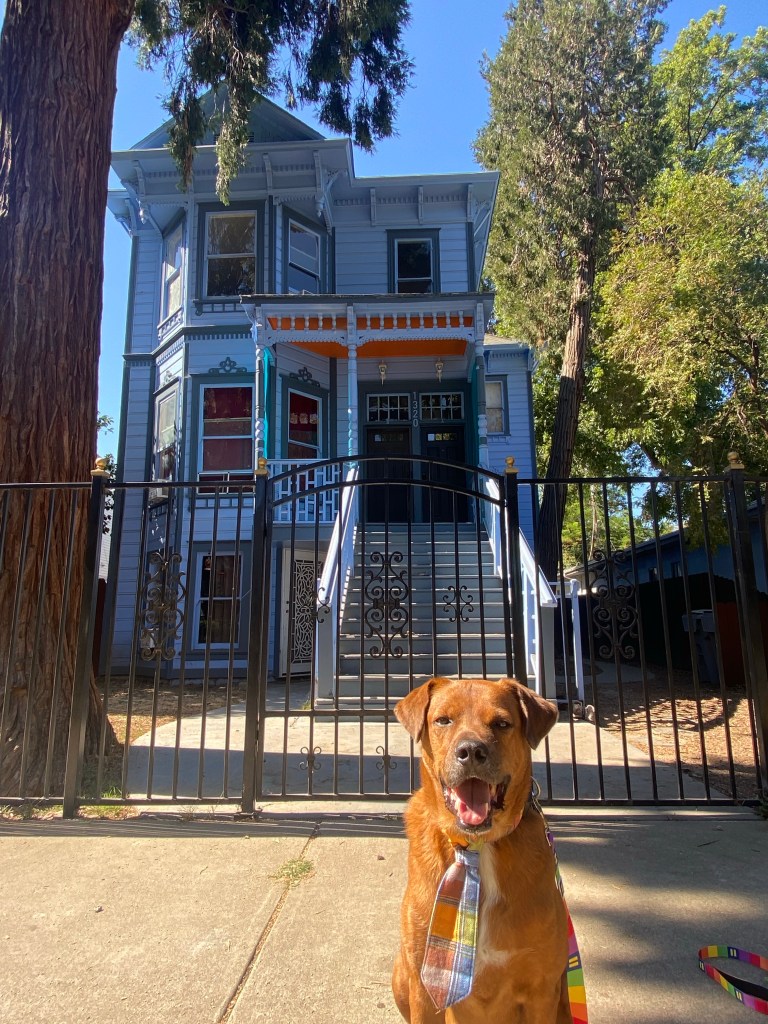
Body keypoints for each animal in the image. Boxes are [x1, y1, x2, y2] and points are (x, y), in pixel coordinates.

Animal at [392, 676, 572, 1023]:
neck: (478, 848)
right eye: (443, 720)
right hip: (400, 974)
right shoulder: (425, 987)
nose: (471, 751)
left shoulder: (542, 988)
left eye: (501, 723)